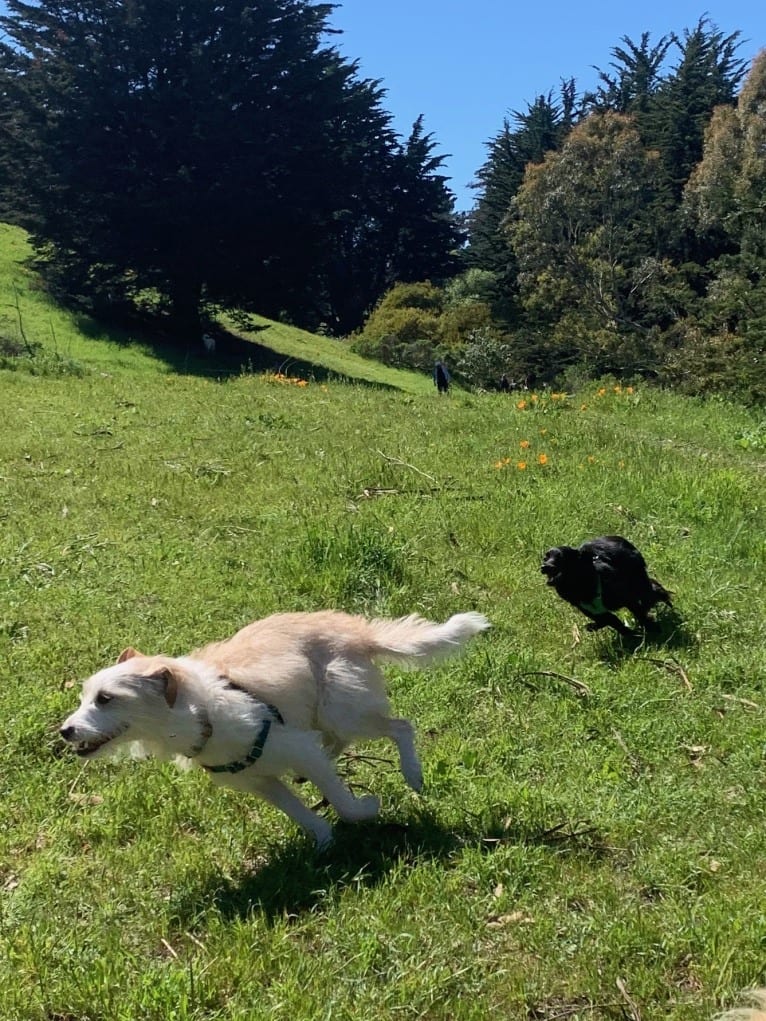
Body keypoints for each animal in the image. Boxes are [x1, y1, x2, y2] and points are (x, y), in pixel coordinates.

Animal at [61, 612, 492, 845]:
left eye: (106, 699)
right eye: (84, 697)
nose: (65, 732)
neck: (204, 710)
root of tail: (357, 633)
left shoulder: (294, 746)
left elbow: (342, 801)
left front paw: (365, 810)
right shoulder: (260, 781)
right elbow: (299, 811)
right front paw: (323, 841)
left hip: (343, 709)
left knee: (400, 727)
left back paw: (412, 773)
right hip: (323, 714)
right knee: (334, 743)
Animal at [539, 539, 669, 633]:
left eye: (560, 558)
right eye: (545, 558)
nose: (544, 567)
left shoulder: (627, 598)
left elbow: (639, 613)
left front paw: (651, 630)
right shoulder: (591, 610)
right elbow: (614, 623)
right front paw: (632, 637)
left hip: (639, 580)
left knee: (650, 594)